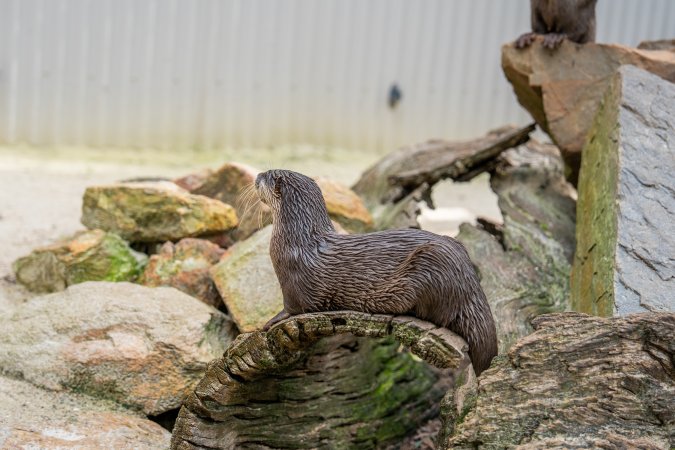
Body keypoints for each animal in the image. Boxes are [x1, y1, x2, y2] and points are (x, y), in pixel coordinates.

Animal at [255, 169, 498, 375]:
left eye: (267, 174)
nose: (257, 176)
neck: (297, 241)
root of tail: (471, 285)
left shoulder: (293, 283)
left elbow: (292, 308)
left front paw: (268, 322)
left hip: (432, 262)